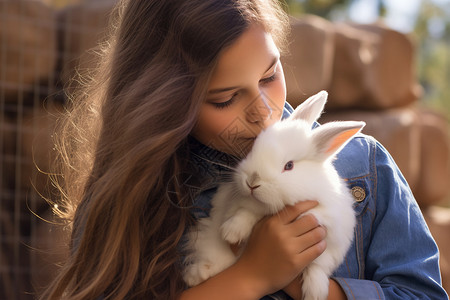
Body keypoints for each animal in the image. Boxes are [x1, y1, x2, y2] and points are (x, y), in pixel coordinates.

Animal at [183, 91, 366, 300]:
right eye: (253, 150)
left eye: (289, 166)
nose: (252, 182)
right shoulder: (238, 203)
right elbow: (245, 213)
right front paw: (231, 233)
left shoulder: (333, 239)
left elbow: (318, 265)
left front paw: (316, 292)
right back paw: (196, 275)